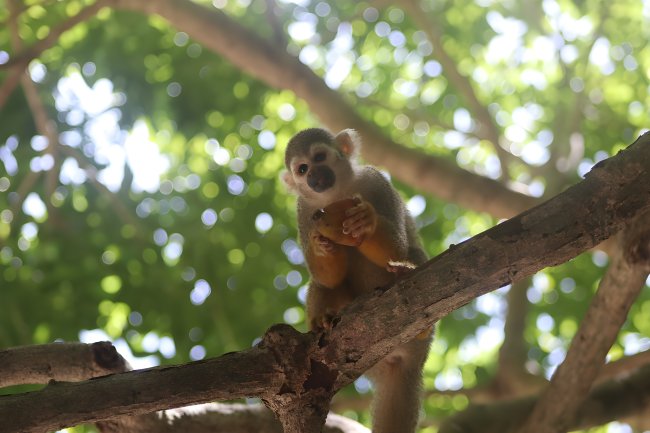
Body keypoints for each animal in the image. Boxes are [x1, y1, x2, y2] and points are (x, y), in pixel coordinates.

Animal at [282, 127, 431, 433]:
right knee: (323, 285)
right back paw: (323, 320)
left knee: (412, 252)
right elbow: (327, 278)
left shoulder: (376, 181)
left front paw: (366, 222)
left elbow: (398, 248)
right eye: (302, 169)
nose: (315, 176)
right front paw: (320, 245)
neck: (338, 193)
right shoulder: (304, 210)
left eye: (319, 157)